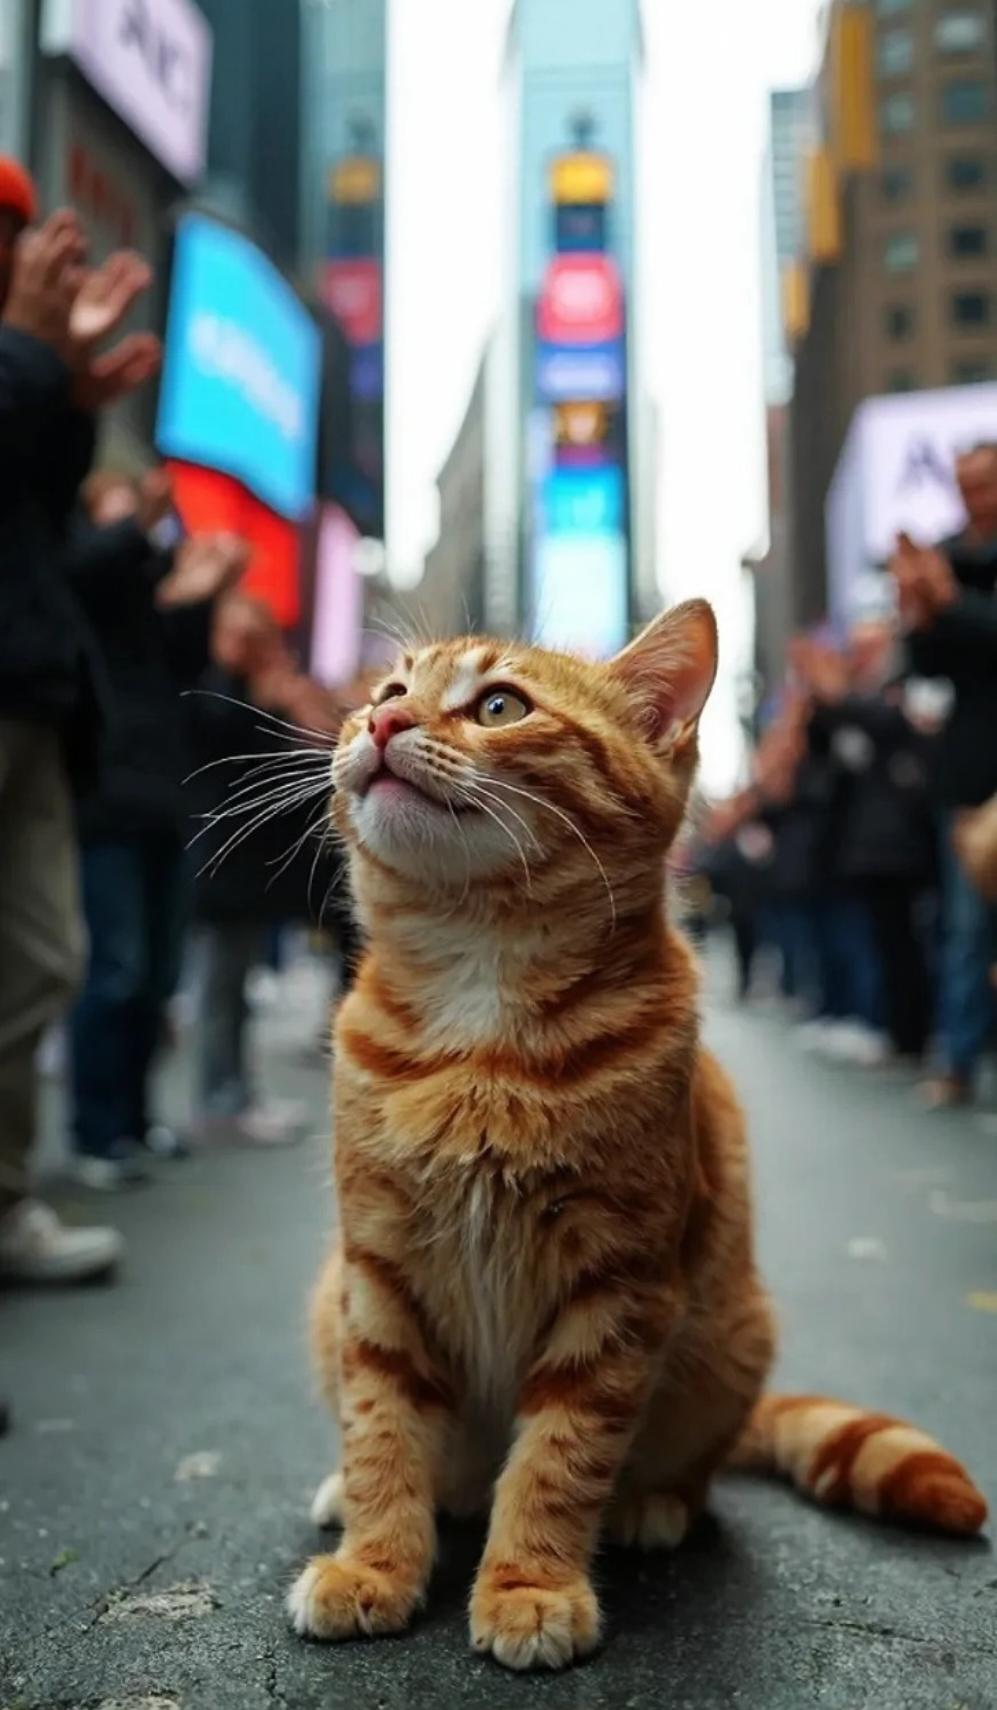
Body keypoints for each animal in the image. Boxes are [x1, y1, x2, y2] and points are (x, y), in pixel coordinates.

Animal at [287, 601, 985, 1668]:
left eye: (498, 706)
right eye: (388, 691)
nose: (380, 723)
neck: (478, 1017)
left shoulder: (616, 1284)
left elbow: (559, 1456)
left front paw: (530, 1583)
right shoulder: (378, 1268)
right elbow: (382, 1432)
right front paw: (375, 1561)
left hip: (730, 1337)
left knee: (680, 1471)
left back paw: (649, 1504)